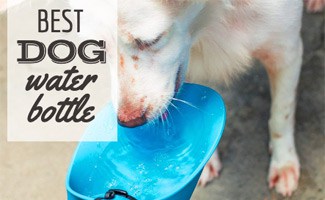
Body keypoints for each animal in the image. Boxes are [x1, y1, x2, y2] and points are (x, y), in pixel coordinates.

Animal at [2, 0, 324, 197]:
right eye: (94, 48)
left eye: (151, 40)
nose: (129, 122)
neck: (212, 16)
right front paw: (204, 161)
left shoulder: (285, 50)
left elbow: (280, 115)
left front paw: (283, 163)